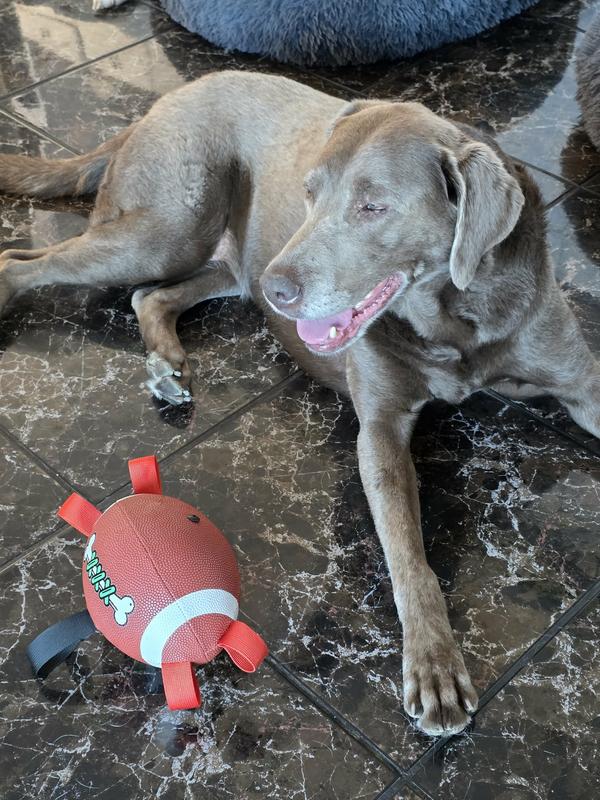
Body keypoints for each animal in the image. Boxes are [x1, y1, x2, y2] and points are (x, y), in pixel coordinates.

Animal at [1, 72, 598, 736]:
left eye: (373, 206)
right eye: (311, 193)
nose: (279, 290)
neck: (452, 319)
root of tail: (161, 104)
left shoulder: (582, 381)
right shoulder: (379, 431)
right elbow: (409, 558)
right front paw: (434, 663)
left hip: (226, 261)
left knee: (149, 296)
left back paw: (167, 364)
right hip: (169, 230)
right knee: (24, 262)